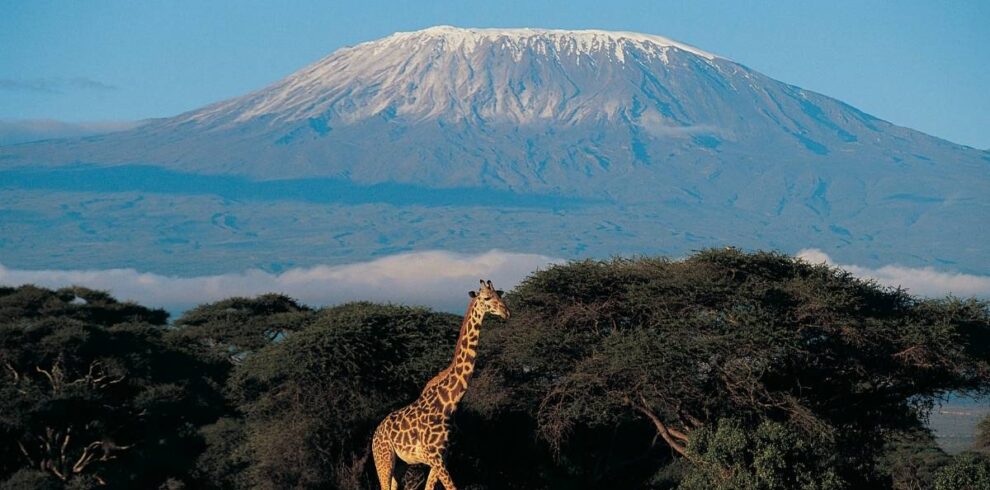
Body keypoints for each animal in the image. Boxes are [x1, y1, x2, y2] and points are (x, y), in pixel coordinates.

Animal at [372, 279, 510, 490]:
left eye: (499, 295)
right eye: (487, 298)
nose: (506, 312)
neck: (449, 402)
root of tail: (375, 434)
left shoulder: (441, 457)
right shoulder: (434, 456)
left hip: (400, 464)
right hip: (384, 459)